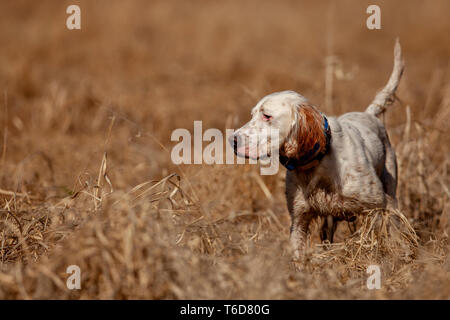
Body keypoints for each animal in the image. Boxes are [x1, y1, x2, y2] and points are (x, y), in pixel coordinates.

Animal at [229, 39, 404, 260]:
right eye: (252, 115)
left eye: (267, 116)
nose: (232, 140)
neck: (320, 162)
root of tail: (369, 114)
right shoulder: (299, 219)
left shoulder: (375, 208)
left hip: (391, 193)